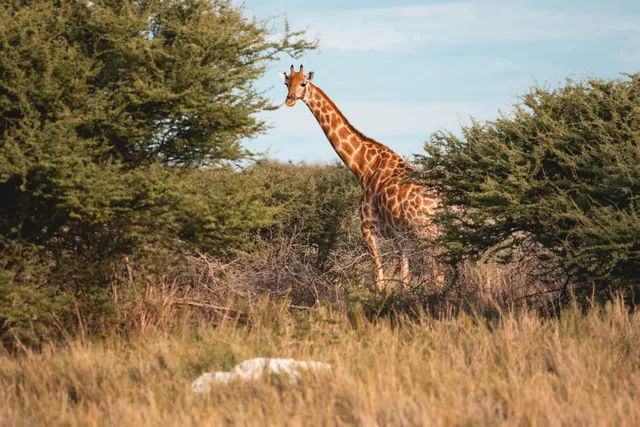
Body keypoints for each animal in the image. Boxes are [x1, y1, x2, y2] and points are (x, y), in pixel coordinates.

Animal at [279, 65, 442, 292]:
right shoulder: (399, 235)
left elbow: (379, 277)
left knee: (438, 272)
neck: (364, 167)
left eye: (303, 83)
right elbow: (405, 276)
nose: (290, 99)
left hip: (426, 231)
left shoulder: (367, 227)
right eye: (287, 83)